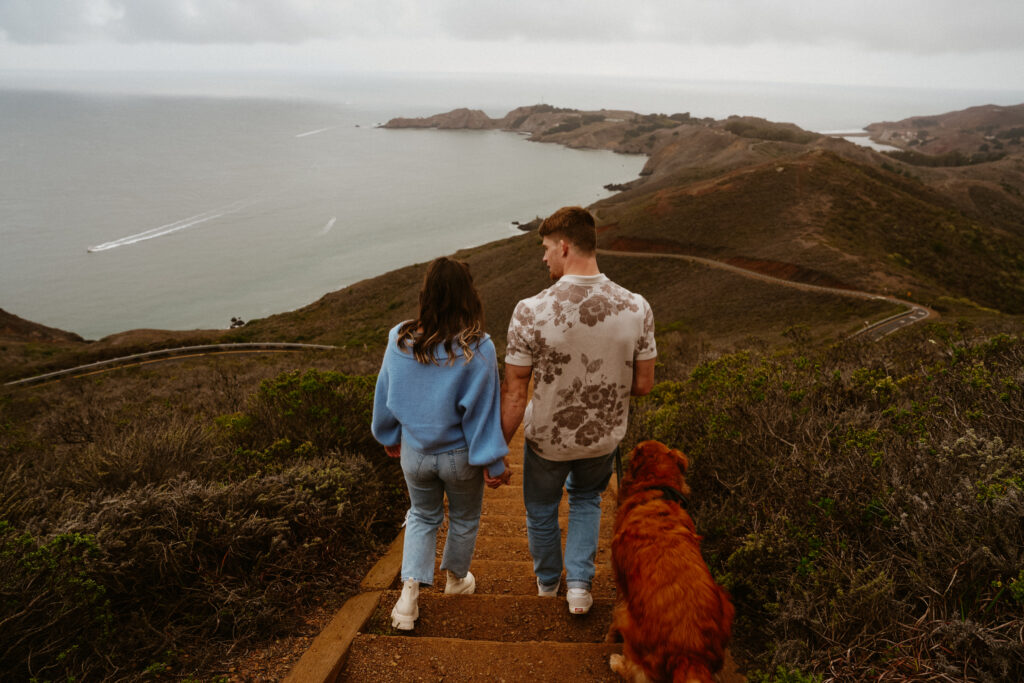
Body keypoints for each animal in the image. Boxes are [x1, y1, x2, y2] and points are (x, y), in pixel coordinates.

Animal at [602, 440, 733, 679]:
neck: (658, 490)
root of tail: (690, 654)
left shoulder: (621, 582)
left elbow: (613, 617)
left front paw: (609, 638)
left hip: (632, 625)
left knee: (635, 671)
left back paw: (617, 661)